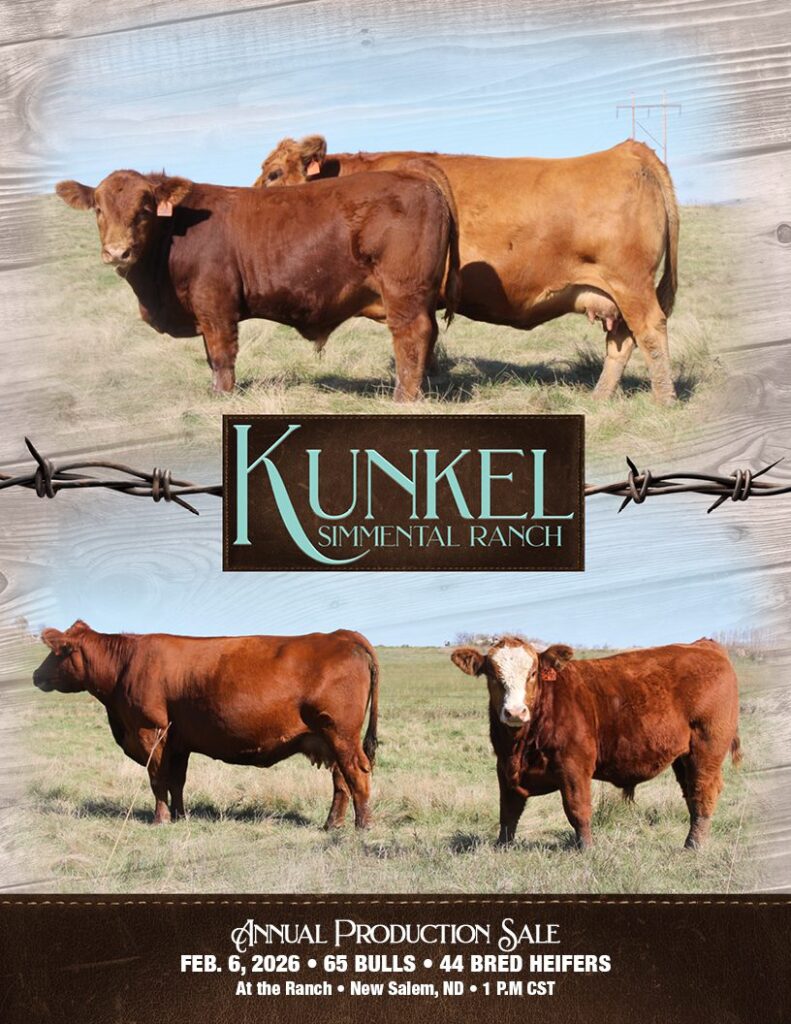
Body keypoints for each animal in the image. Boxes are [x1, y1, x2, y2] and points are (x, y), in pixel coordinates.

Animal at [33, 621, 379, 829]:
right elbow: (177, 781)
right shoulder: (178, 742)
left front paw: (160, 820)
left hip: (341, 734)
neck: (124, 665)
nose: (36, 675)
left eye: (58, 652)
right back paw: (331, 825)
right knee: (341, 780)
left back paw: (363, 826)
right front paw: (180, 816)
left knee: (357, 773)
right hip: (331, 739)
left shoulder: (150, 731)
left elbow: (157, 780)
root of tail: (341, 634)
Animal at [55, 166, 460, 401]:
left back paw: (403, 397)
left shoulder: (215, 305)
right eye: (98, 209)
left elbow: (221, 356)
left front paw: (223, 396)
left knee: (411, 336)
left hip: (403, 292)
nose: (117, 252)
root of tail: (419, 179)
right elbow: (210, 356)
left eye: (145, 208)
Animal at [256, 134, 680, 403]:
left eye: (274, 173)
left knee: (650, 333)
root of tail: (627, 151)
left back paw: (664, 399)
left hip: (631, 284)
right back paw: (600, 397)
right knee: (622, 341)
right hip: (615, 295)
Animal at [450, 637, 740, 849]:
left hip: (706, 749)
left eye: (533, 673)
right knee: (691, 793)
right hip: (682, 757)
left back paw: (694, 845)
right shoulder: (504, 769)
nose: (514, 712)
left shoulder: (574, 767)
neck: (519, 746)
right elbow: (508, 813)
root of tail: (704, 645)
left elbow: (577, 809)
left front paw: (586, 849)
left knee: (703, 792)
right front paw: (502, 847)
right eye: (492, 674)